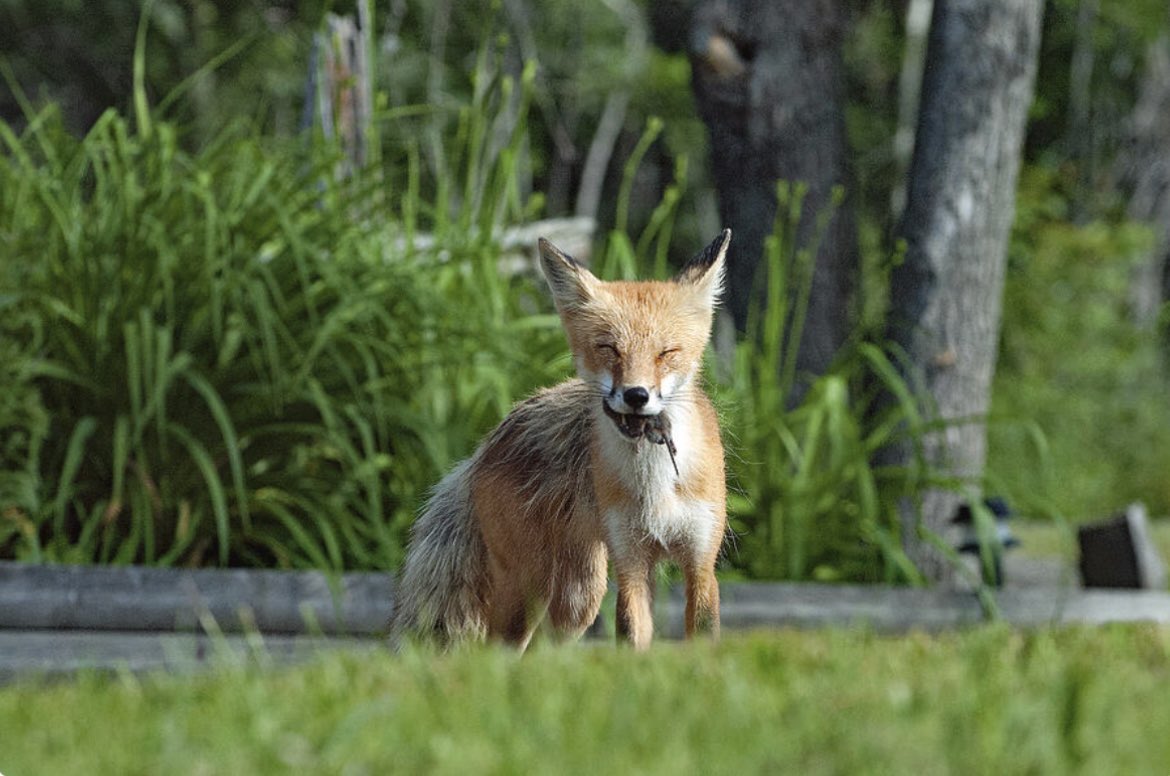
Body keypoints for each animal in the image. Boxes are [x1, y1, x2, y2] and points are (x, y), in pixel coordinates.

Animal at [389, 229, 731, 651]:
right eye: (608, 348)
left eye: (666, 353)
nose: (636, 396)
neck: (655, 489)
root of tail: (489, 443)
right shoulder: (631, 565)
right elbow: (631, 639)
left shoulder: (701, 563)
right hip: (539, 590)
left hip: (574, 598)